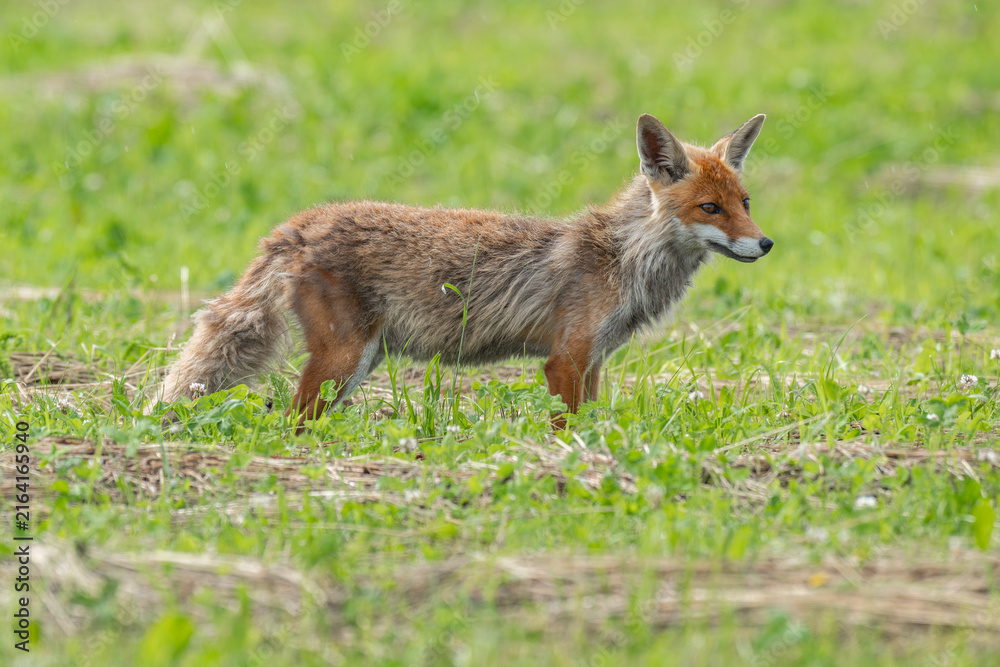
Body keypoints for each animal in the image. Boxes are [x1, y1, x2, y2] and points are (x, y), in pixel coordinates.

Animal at [158, 112, 773, 428]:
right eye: (710, 209)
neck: (622, 258)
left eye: (745, 202)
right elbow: (568, 427)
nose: (765, 244)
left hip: (360, 362)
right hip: (343, 357)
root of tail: (305, 218)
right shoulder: (564, 361)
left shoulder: (594, 361)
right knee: (292, 422)